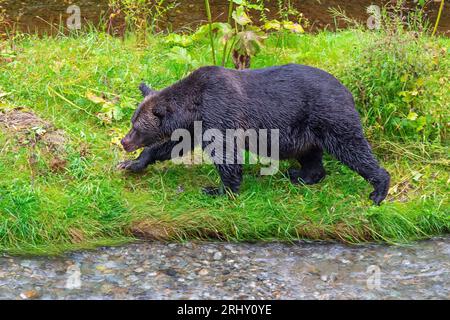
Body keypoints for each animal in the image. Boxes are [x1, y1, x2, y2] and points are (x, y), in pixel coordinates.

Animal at [119, 64, 390, 205]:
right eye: (132, 122)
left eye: (137, 127)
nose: (124, 142)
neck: (194, 108)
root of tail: (348, 90)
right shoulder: (195, 127)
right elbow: (173, 145)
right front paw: (132, 164)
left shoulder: (221, 113)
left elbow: (226, 155)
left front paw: (218, 190)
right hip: (306, 131)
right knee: (311, 155)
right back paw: (301, 175)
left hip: (329, 117)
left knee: (353, 149)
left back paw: (378, 190)